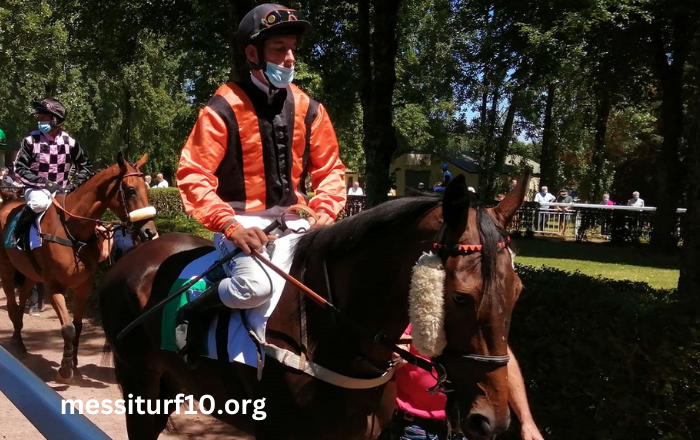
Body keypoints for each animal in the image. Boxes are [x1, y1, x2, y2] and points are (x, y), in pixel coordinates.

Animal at [0, 154, 156, 382]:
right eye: (130, 190)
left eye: (146, 187)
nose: (149, 232)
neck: (73, 232)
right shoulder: (53, 285)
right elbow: (68, 327)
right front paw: (65, 369)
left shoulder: (83, 286)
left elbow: (79, 326)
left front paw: (74, 363)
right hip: (8, 270)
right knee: (12, 305)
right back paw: (18, 343)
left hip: (31, 274)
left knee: (21, 302)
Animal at [95, 173, 528, 440]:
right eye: (459, 296)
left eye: (518, 291)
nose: (491, 420)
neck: (330, 332)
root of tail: (133, 256)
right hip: (139, 382)